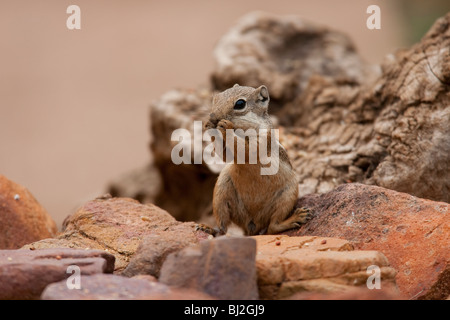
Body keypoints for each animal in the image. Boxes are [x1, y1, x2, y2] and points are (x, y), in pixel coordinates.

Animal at [202, 84, 308, 236]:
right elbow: (225, 155)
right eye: (215, 98)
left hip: (288, 195)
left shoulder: (262, 138)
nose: (213, 117)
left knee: (273, 226)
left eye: (240, 104)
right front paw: (209, 125)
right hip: (221, 192)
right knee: (223, 227)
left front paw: (226, 126)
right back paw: (208, 228)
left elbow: (248, 149)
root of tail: (252, 226)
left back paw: (295, 217)